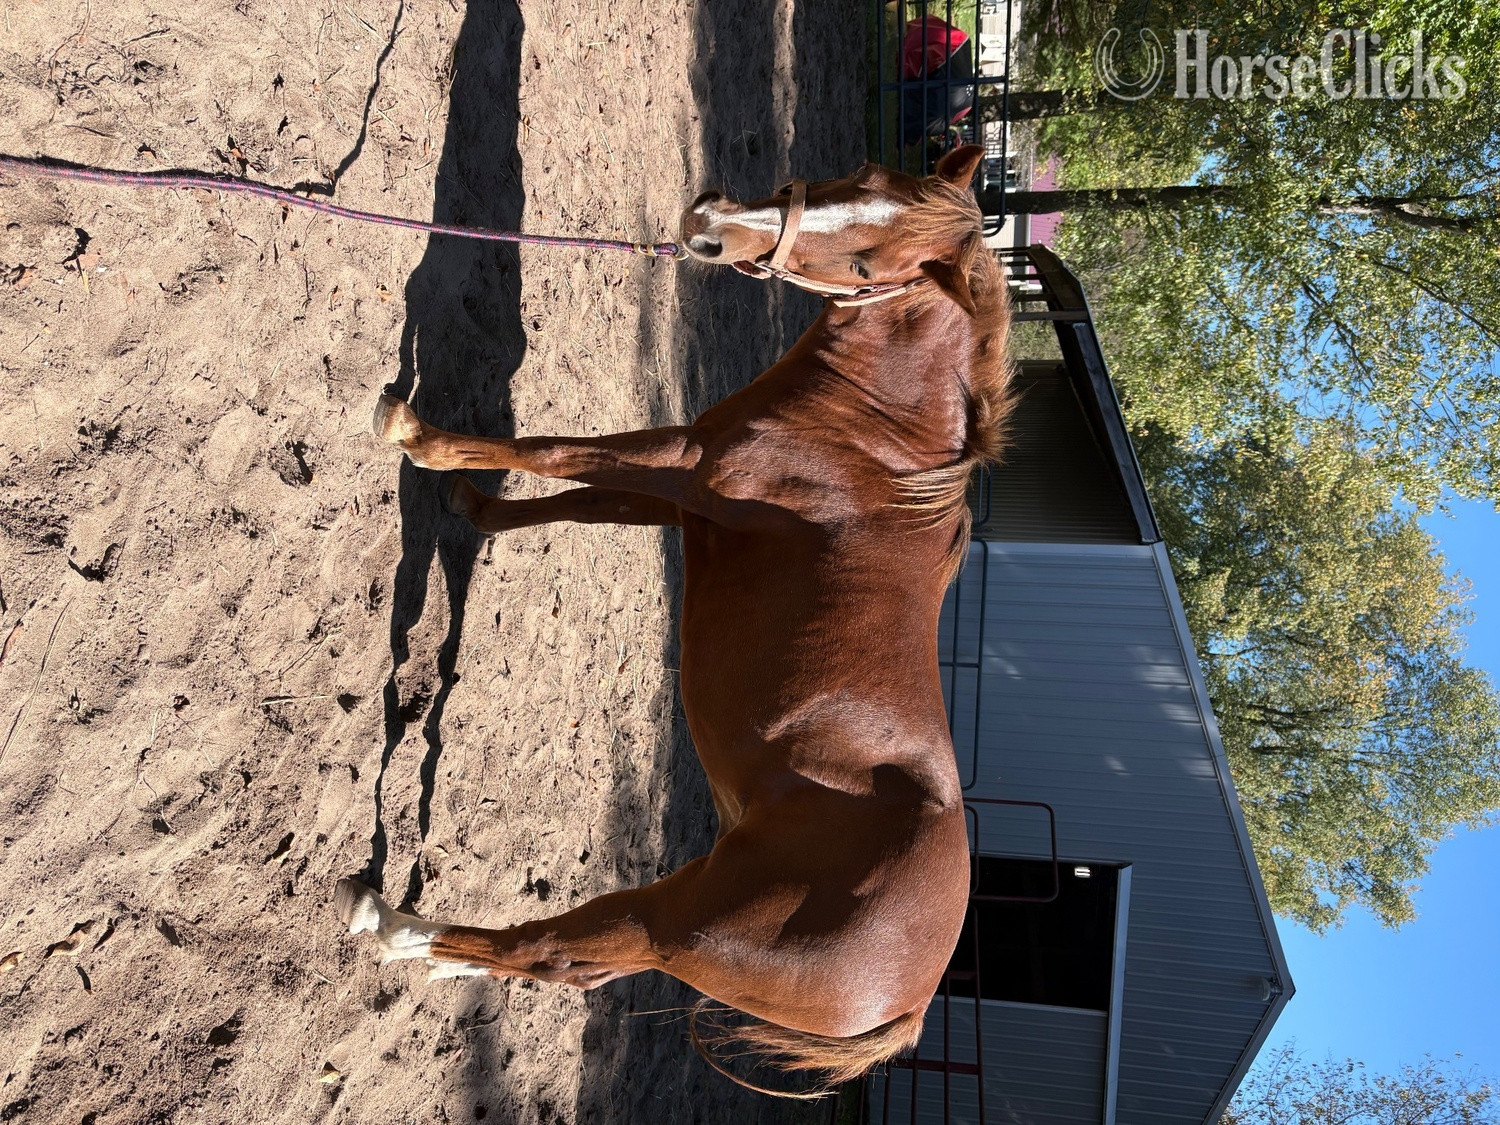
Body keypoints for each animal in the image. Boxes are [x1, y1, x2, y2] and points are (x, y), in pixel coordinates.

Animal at [335, 144, 1014, 1093]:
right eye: (864, 175)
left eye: (867, 265)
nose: (712, 224)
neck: (873, 441)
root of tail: (905, 1005)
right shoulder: (683, 501)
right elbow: (575, 502)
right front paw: (474, 504)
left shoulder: (683, 463)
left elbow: (554, 452)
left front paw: (415, 436)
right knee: (563, 963)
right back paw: (423, 952)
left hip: (673, 925)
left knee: (547, 950)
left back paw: (388, 924)